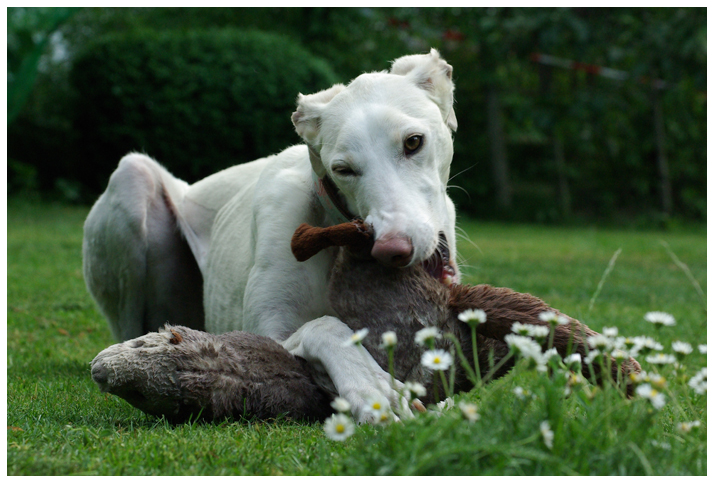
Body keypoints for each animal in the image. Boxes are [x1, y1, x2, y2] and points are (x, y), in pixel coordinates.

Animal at [84, 48, 462, 420]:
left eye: (413, 142)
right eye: (343, 169)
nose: (391, 249)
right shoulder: (268, 332)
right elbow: (321, 325)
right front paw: (374, 387)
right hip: (132, 180)